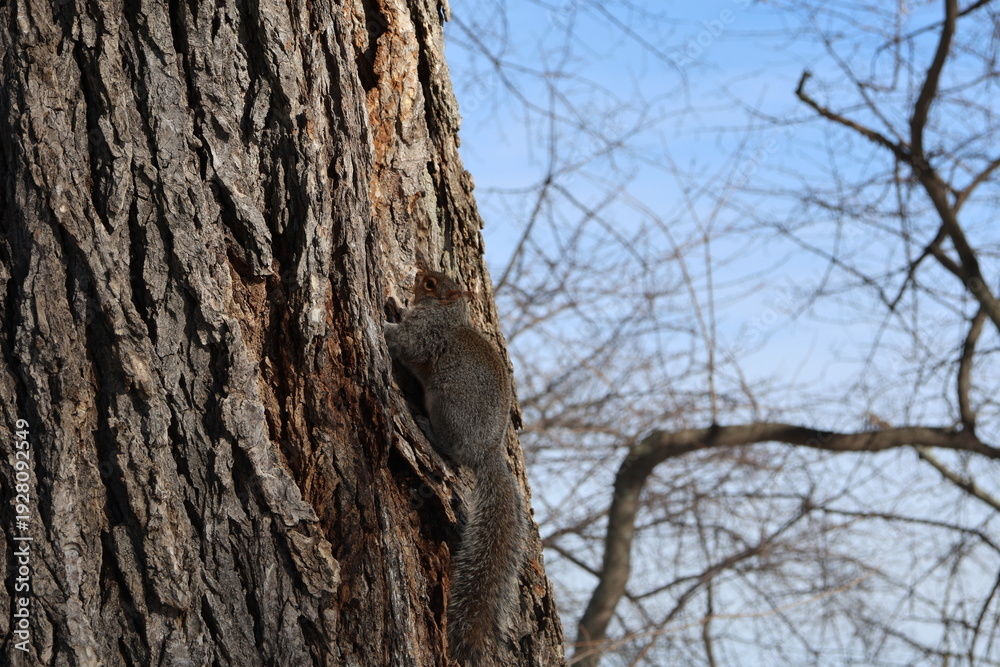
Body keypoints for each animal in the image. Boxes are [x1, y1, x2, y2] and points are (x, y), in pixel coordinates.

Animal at [384, 269, 525, 665]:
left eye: (432, 283)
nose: (419, 271)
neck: (447, 313)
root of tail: (487, 453)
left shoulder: (426, 335)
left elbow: (407, 343)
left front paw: (386, 323)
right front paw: (396, 306)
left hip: (448, 407)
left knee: (450, 451)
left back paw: (428, 427)